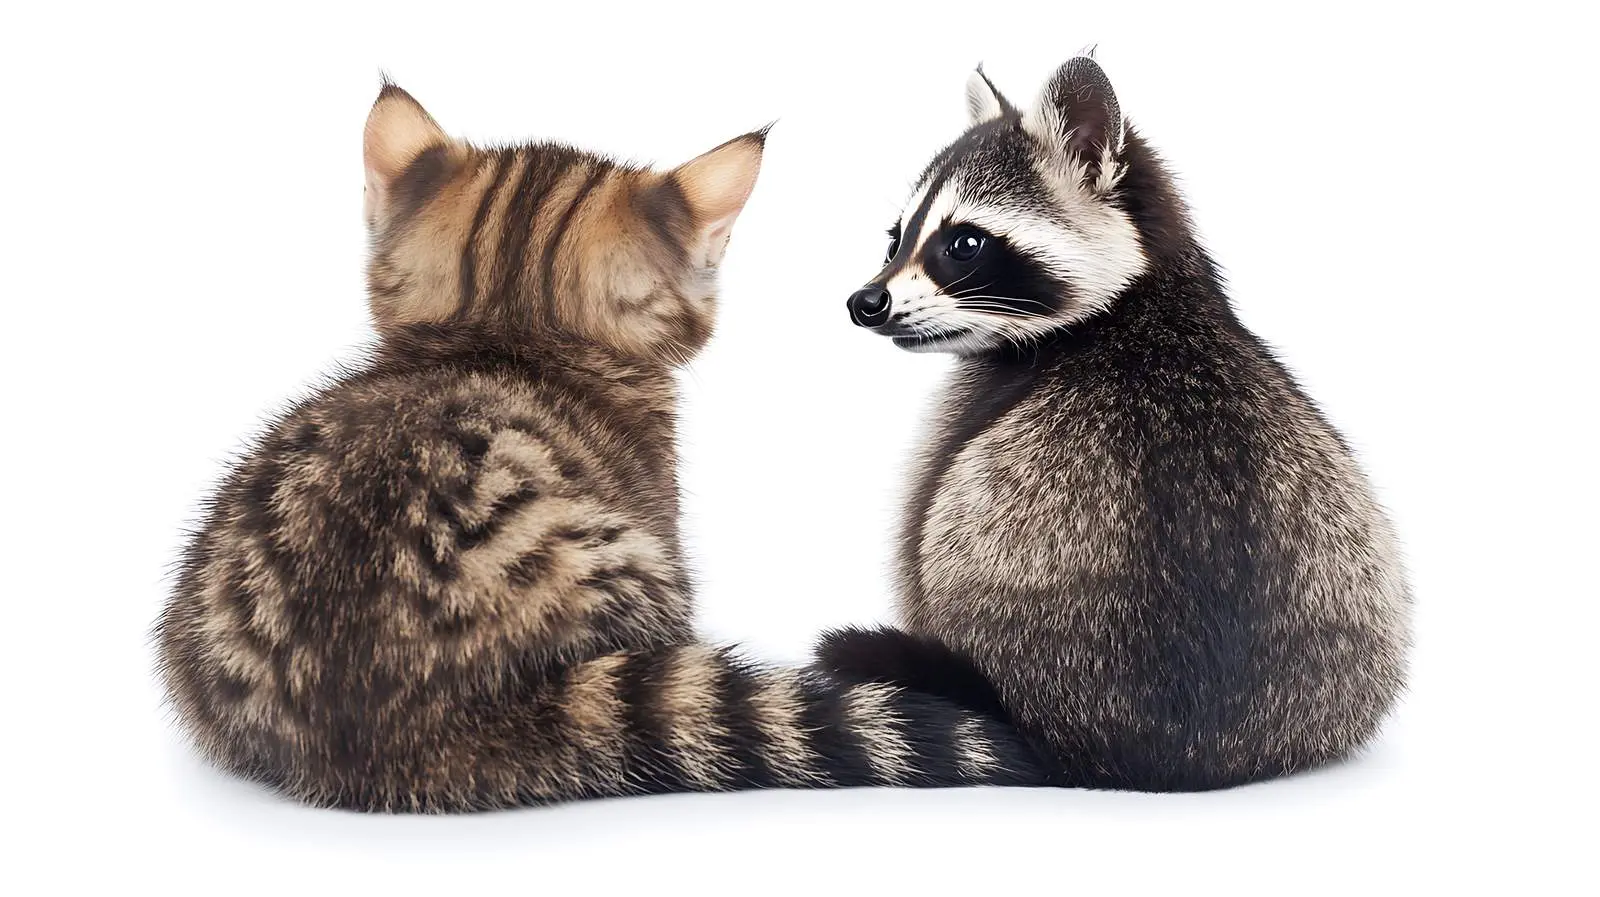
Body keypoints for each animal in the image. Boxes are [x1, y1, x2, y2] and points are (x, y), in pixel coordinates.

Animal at [823, 56, 1411, 790]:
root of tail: (1164, 754)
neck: (1136, 293)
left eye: (964, 244)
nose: (863, 301)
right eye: (895, 238)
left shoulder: (969, 413)